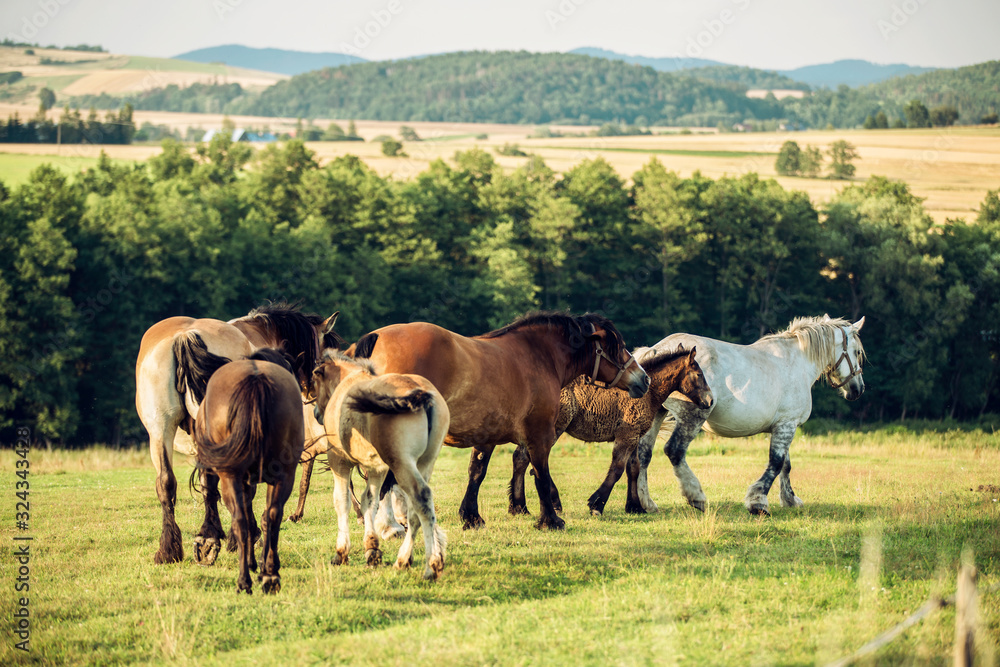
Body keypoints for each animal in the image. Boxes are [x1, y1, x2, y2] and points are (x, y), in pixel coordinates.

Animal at [133, 302, 340, 564]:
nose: (314, 396)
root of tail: (185, 336)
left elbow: (207, 485)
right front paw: (245, 535)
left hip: (160, 431)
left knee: (166, 483)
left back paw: (172, 548)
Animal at [193, 350, 302, 596]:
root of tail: (256, 378)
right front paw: (261, 566)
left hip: (230, 476)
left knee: (240, 520)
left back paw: (244, 581)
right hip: (284, 477)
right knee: (272, 515)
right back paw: (270, 575)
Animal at [348, 310, 652, 528]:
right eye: (617, 346)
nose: (644, 378)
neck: (537, 357)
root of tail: (375, 338)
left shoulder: (486, 436)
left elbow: (477, 472)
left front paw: (471, 517)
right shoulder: (540, 435)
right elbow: (541, 474)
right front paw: (550, 519)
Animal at [512, 348, 716, 520]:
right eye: (699, 374)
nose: (710, 401)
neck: (647, 393)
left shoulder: (635, 436)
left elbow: (633, 468)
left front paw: (635, 506)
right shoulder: (627, 435)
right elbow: (617, 468)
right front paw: (597, 505)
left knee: (522, 458)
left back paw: (519, 507)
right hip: (554, 427)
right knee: (529, 458)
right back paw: (541, 503)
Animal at [632, 318, 868, 516]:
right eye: (857, 352)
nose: (858, 389)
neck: (797, 363)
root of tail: (653, 350)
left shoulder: (783, 426)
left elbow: (785, 465)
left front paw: (790, 500)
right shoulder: (787, 425)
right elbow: (776, 463)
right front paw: (758, 502)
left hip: (657, 414)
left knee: (644, 454)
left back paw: (646, 503)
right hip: (692, 416)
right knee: (674, 451)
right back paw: (696, 497)